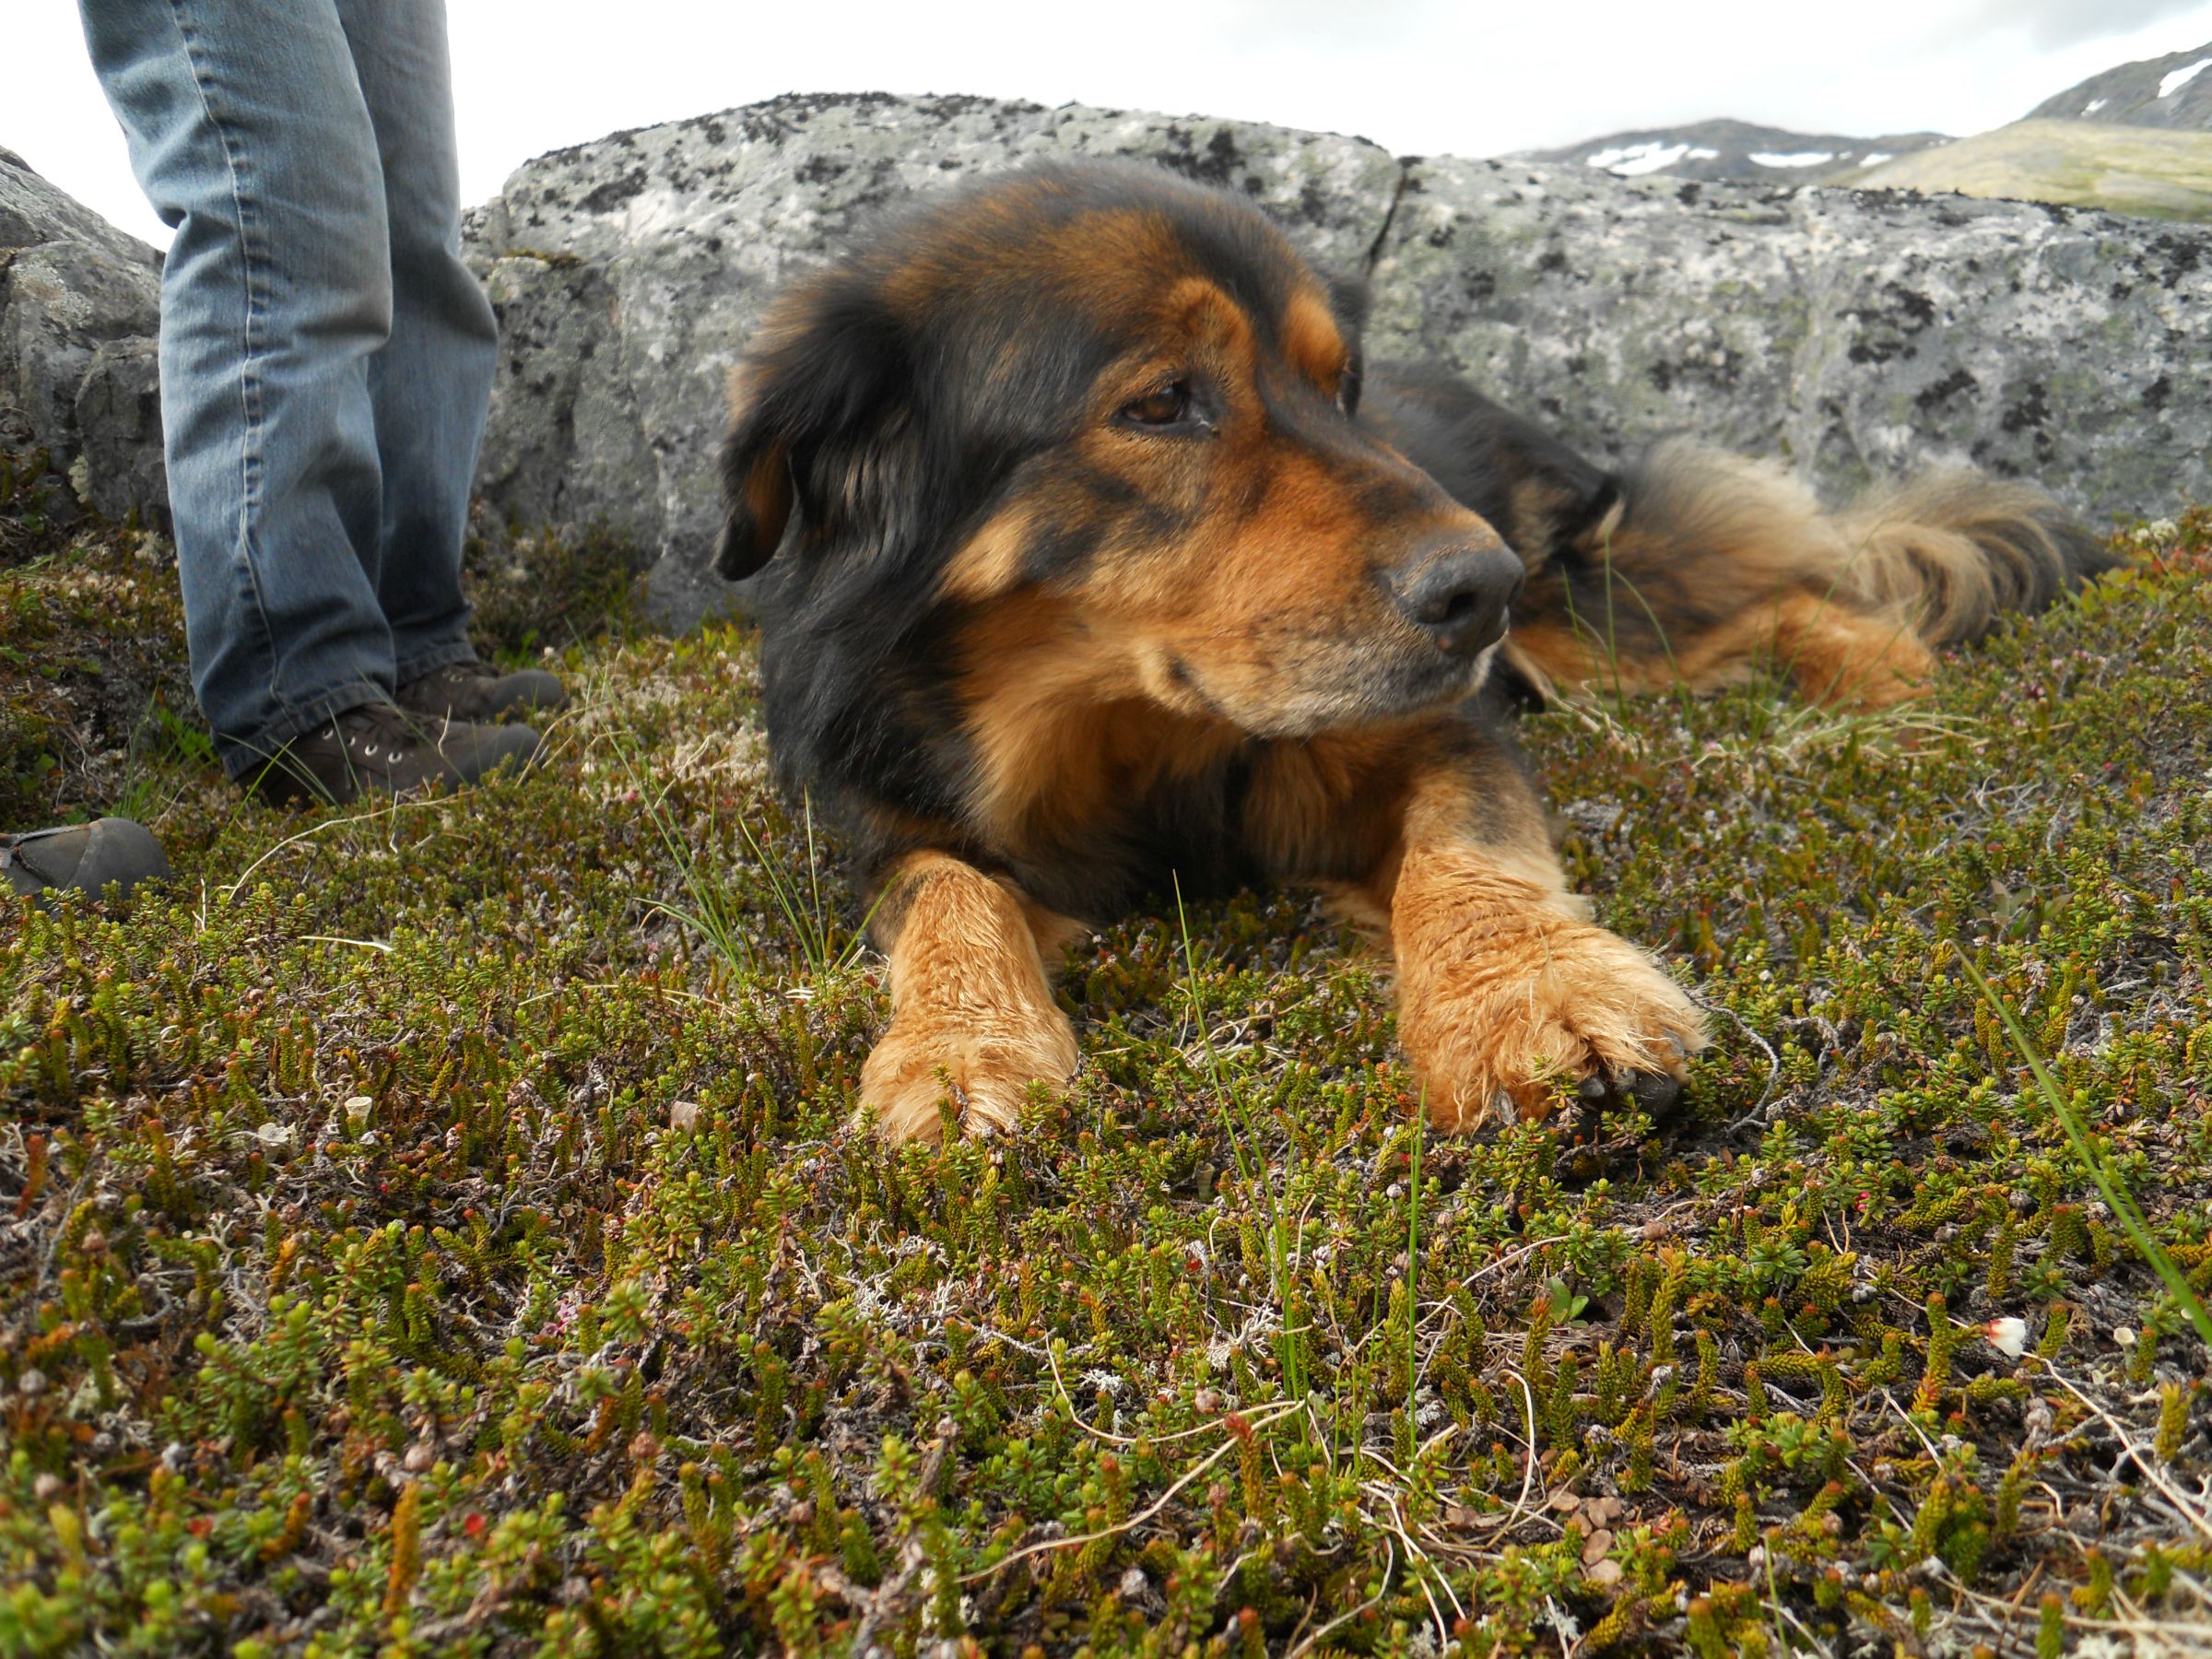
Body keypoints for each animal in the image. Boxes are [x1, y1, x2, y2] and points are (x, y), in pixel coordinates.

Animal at [712, 159, 2105, 1141]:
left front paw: (1529, 994)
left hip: (1587, 625)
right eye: (1161, 403)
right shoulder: (887, 813)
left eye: (1343, 385)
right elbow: (953, 897)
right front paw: (962, 1048)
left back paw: (1875, 667)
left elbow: (1463, 845)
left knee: (1776, 590)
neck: (1126, 737)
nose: (1480, 590)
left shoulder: (1435, 727)